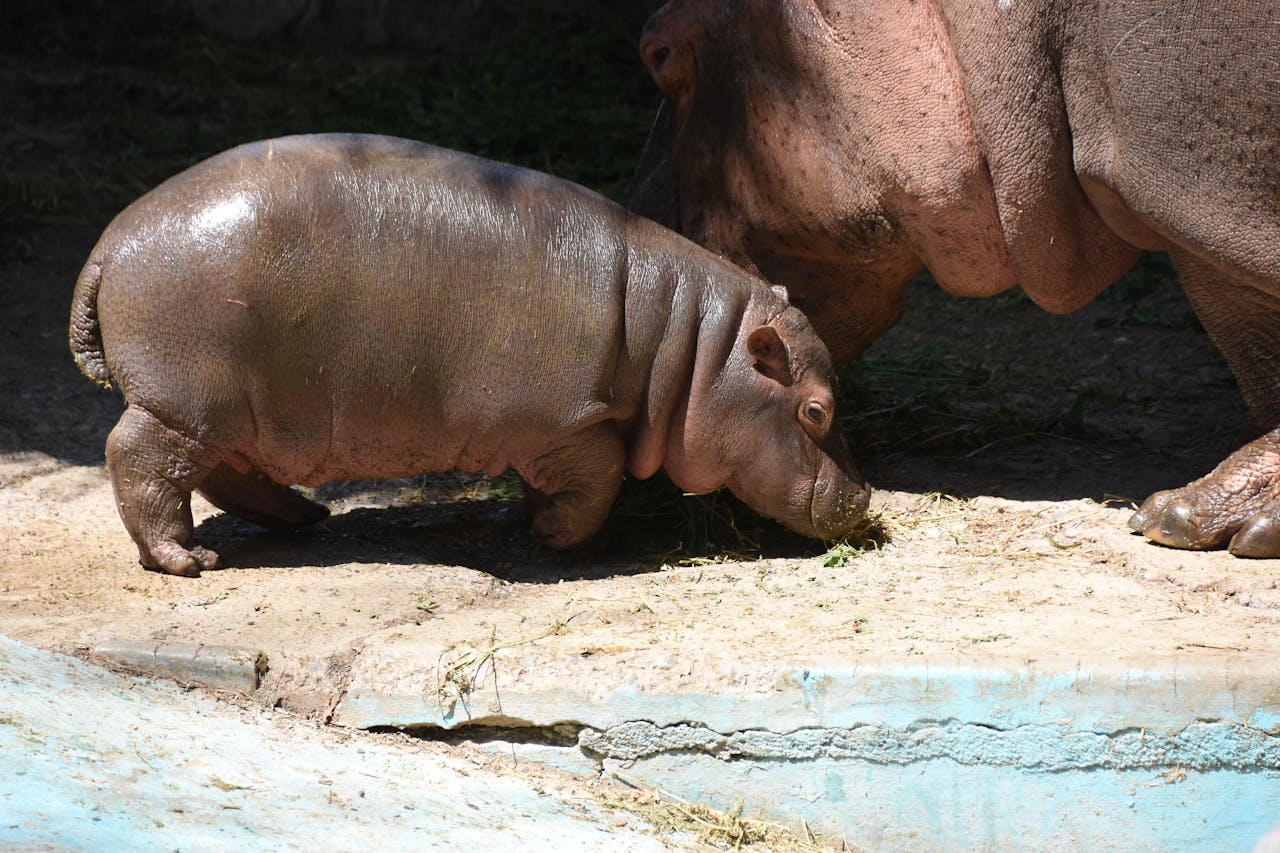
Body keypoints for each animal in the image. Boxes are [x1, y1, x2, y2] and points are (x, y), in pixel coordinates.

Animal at [72, 133, 870, 573]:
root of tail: (108, 245)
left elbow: (567, 482)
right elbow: (599, 478)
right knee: (139, 458)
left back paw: (305, 519)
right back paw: (187, 561)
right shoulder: (566, 421)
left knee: (226, 474)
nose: (865, 497)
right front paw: (556, 537)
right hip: (186, 403)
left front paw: (542, 526)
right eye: (816, 409)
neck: (692, 345)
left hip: (237, 411)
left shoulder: (557, 432)